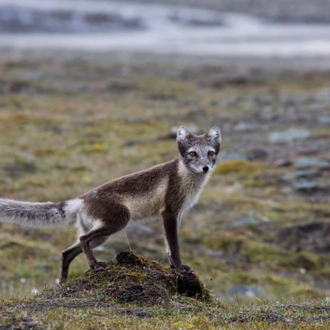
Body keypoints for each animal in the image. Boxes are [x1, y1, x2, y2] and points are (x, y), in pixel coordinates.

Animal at [1, 126, 222, 284]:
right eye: (192, 154)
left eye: (211, 153)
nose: (205, 167)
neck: (186, 178)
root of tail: (82, 198)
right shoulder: (168, 213)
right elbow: (174, 246)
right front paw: (180, 268)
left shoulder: (177, 214)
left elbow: (169, 246)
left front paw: (173, 267)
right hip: (118, 221)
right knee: (83, 239)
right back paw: (95, 265)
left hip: (102, 234)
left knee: (67, 252)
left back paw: (63, 282)